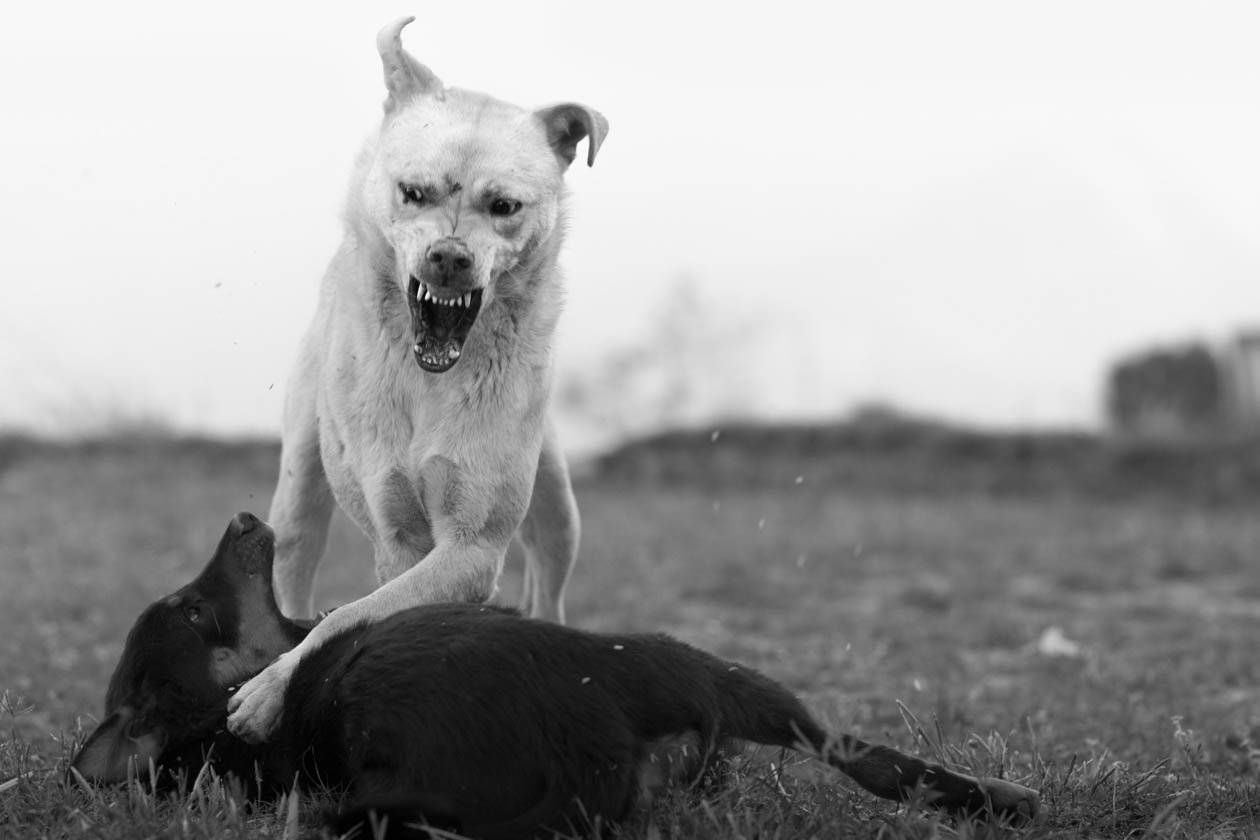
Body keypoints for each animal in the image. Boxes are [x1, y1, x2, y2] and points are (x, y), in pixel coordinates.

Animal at [73, 513, 1038, 836]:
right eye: (191, 612)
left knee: (855, 754)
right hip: (680, 660)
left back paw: (992, 798)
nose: (244, 519)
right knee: (848, 747)